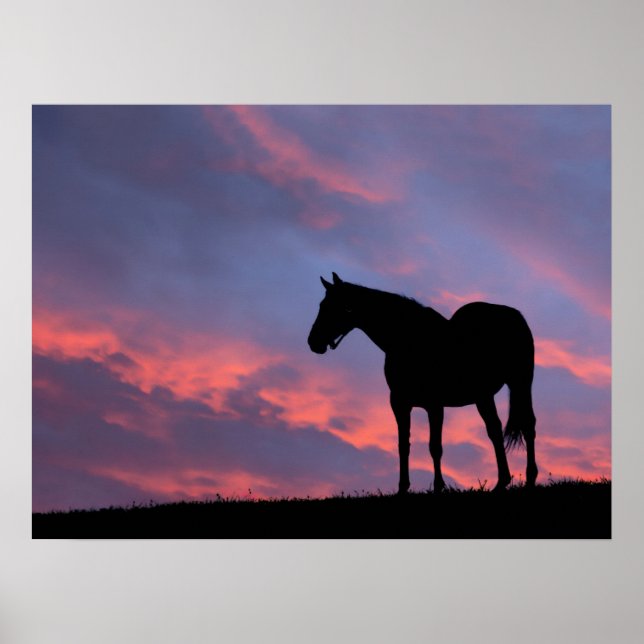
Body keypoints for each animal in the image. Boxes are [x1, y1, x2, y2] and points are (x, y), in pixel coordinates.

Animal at [307, 272, 537, 494]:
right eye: (321, 305)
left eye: (337, 307)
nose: (313, 342)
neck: (410, 340)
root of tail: (514, 315)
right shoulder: (399, 403)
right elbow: (403, 445)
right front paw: (402, 488)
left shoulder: (434, 405)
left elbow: (435, 447)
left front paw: (438, 487)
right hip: (483, 395)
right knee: (495, 430)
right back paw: (501, 482)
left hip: (521, 383)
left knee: (528, 425)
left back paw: (530, 480)